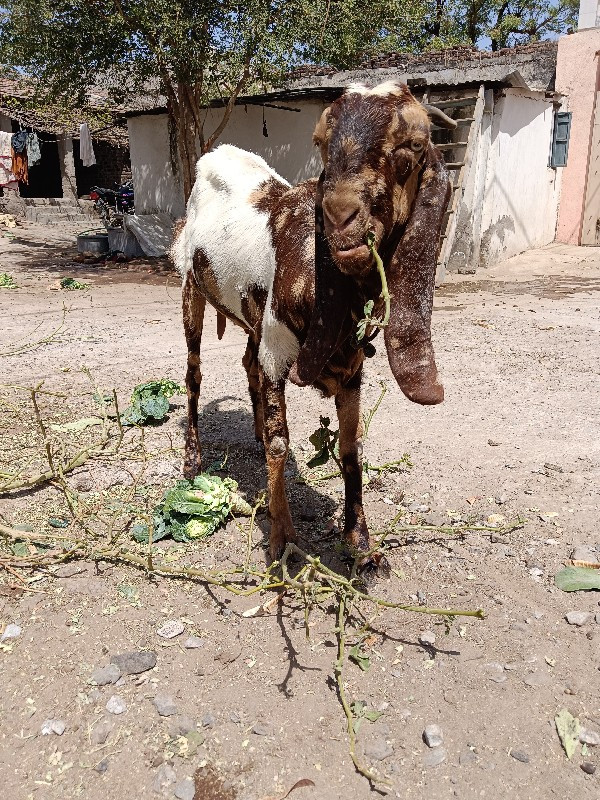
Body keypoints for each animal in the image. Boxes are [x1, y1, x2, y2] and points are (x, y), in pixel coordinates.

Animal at [171, 81, 452, 572]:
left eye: (413, 147)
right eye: (320, 143)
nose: (340, 215)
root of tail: (217, 156)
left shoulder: (353, 371)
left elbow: (351, 449)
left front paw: (361, 543)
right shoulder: (277, 351)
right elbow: (281, 445)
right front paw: (282, 541)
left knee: (246, 364)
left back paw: (255, 430)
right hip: (191, 288)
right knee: (194, 374)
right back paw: (194, 459)